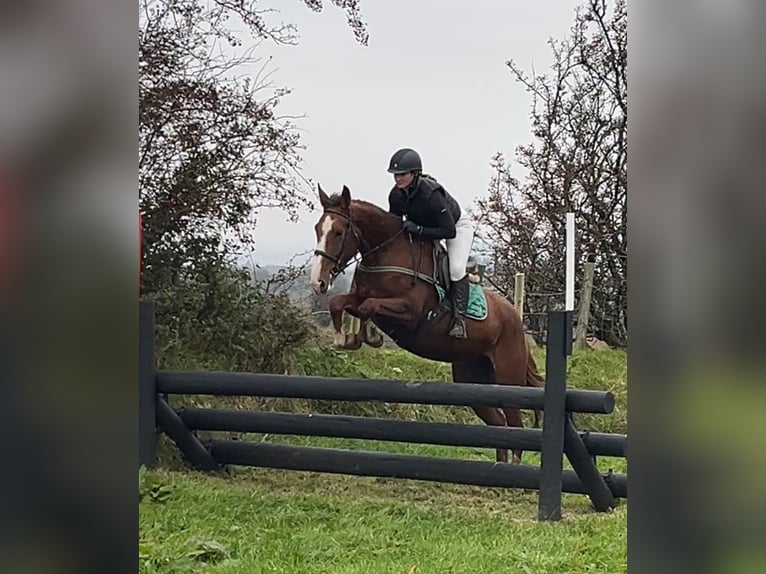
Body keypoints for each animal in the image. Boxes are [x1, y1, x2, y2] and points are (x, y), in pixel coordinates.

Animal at [309, 184, 545, 464]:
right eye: (317, 229)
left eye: (338, 232)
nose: (318, 282)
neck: (387, 254)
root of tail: (515, 319)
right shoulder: (359, 295)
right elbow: (340, 303)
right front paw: (345, 338)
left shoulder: (410, 314)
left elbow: (368, 306)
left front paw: (367, 337)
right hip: (473, 379)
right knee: (498, 424)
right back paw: (499, 467)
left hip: (508, 379)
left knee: (514, 425)